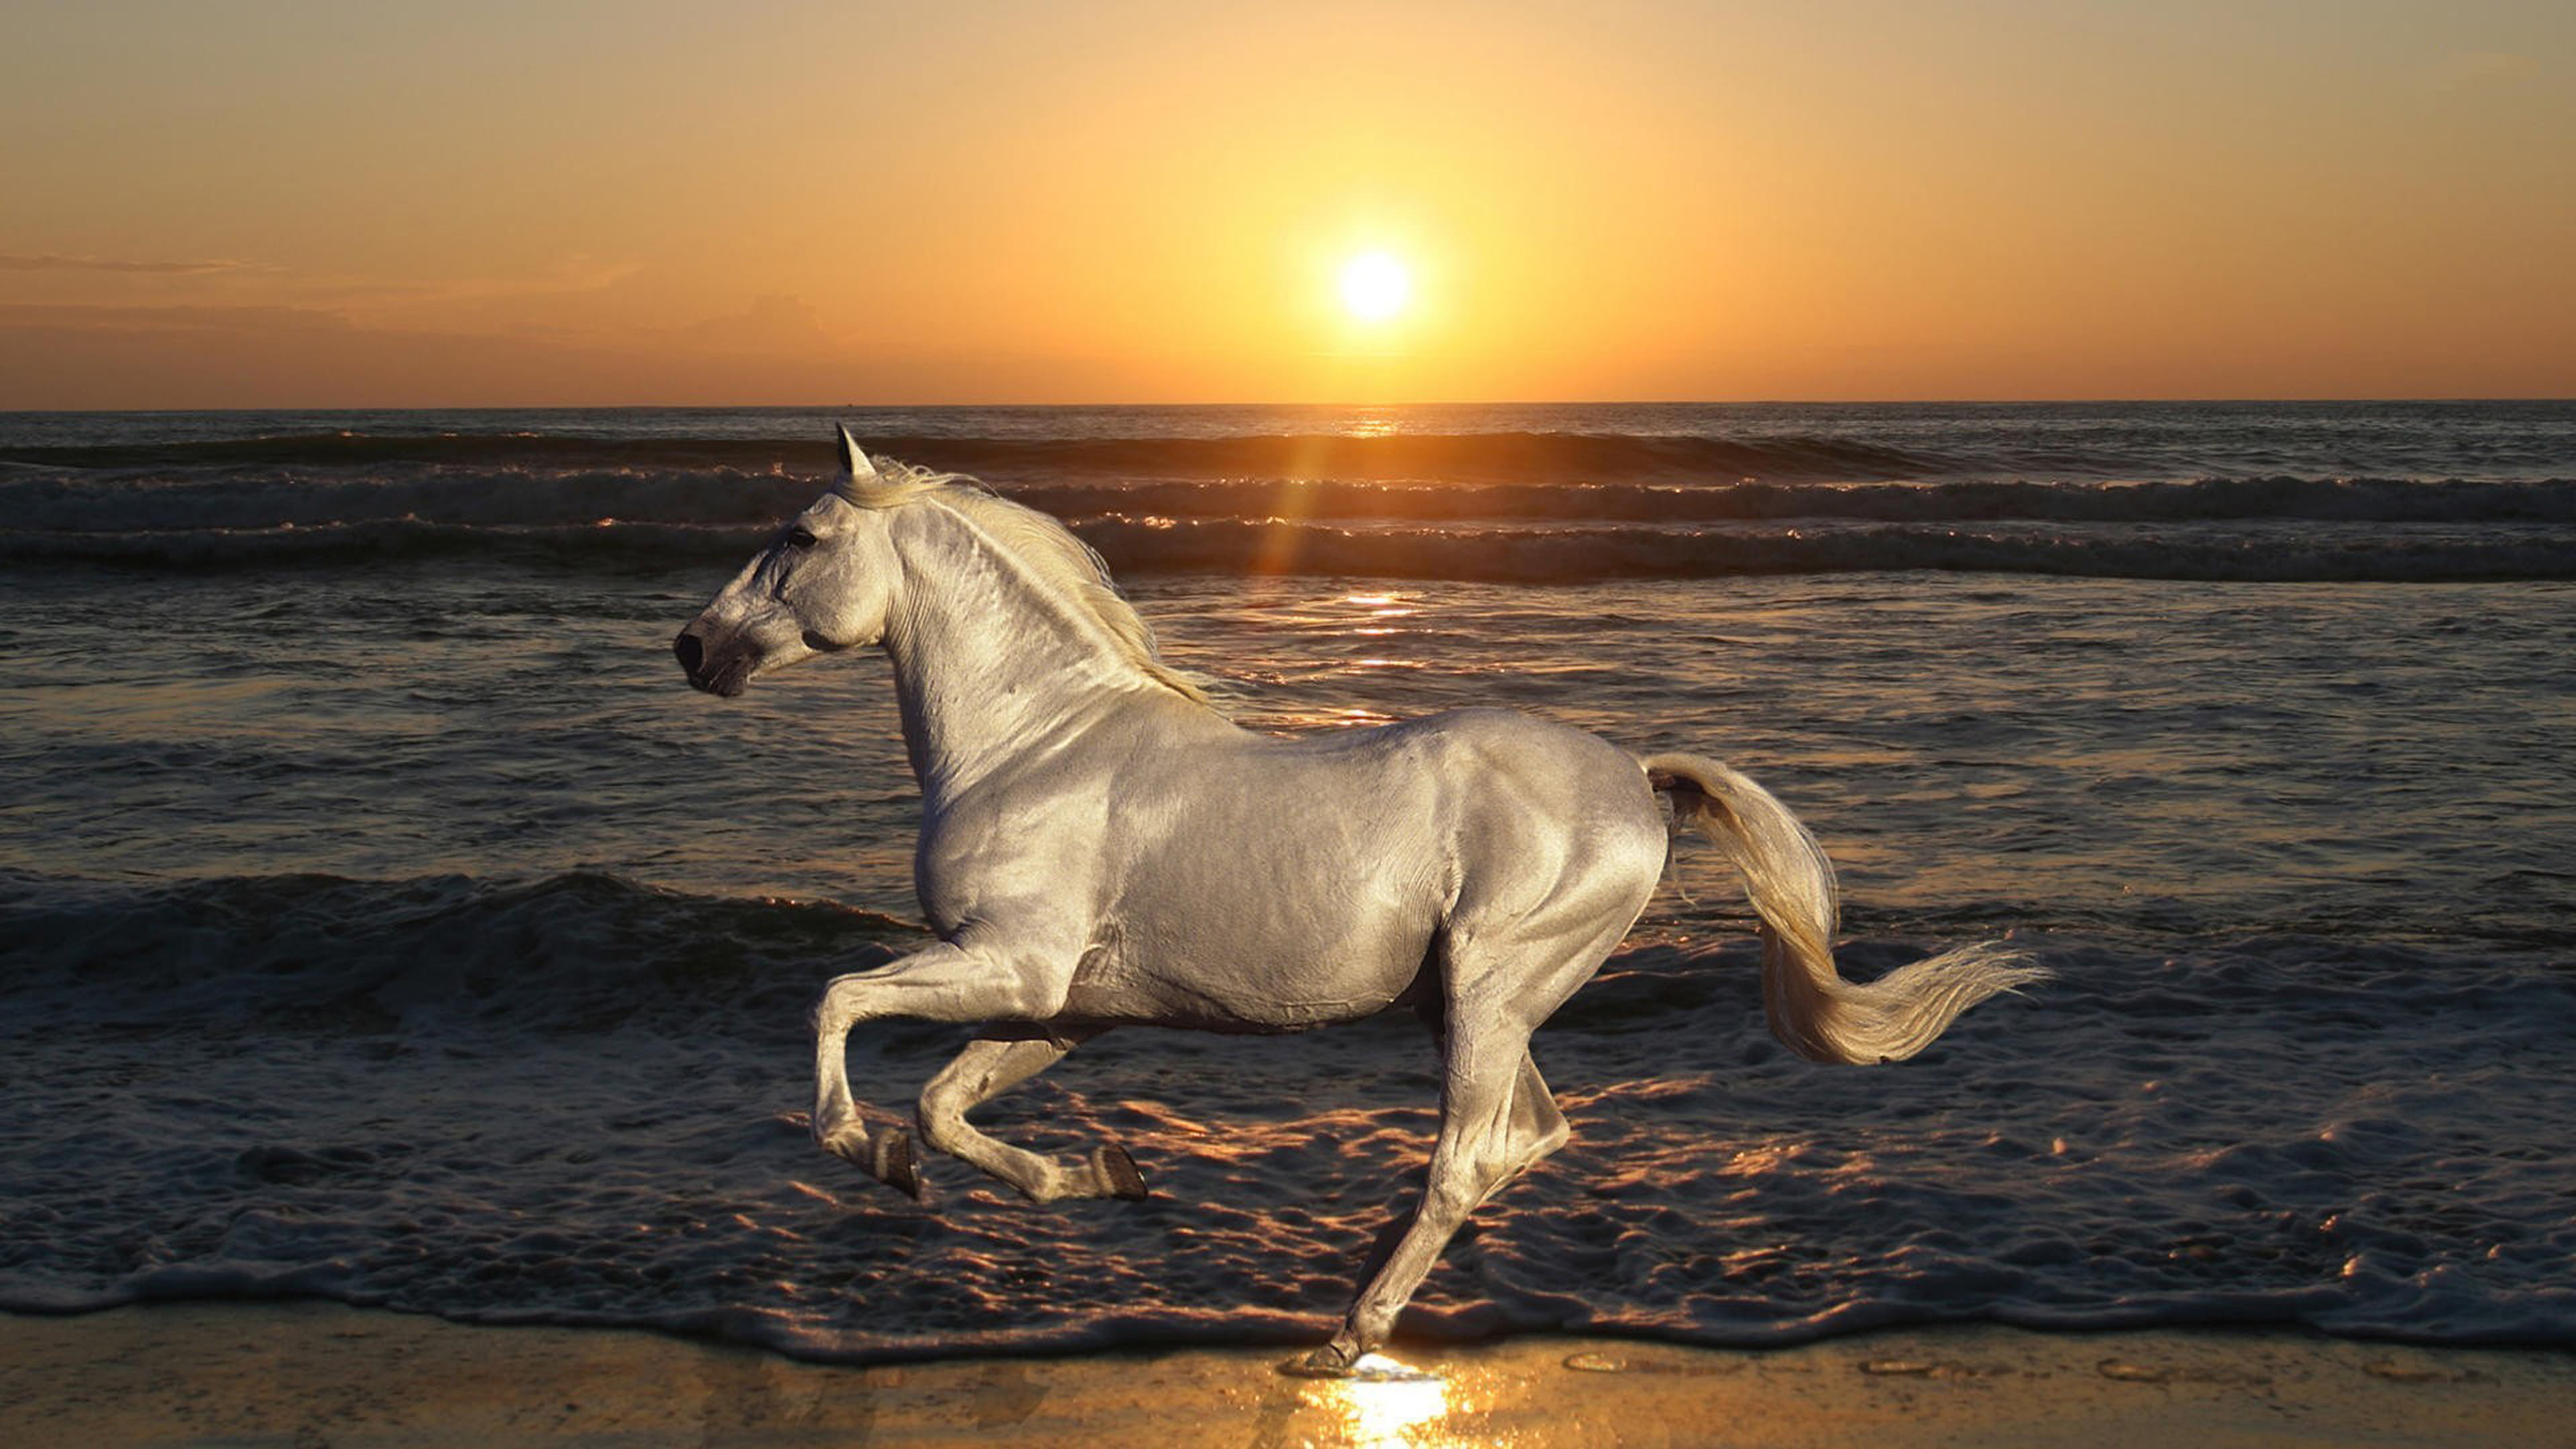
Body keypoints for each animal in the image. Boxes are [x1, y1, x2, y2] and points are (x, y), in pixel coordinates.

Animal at [672, 427, 2042, 1376]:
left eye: (799, 537)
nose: (694, 648)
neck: (1037, 744)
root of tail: (1637, 780)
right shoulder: (1065, 1007)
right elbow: (949, 1110)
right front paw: (1103, 1176)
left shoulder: (1013, 965)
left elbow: (839, 1006)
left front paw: (872, 1157)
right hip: (1475, 1006)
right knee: (1524, 1140)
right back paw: (1355, 1286)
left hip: (1491, 989)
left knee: (1469, 1156)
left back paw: (1348, 1330)